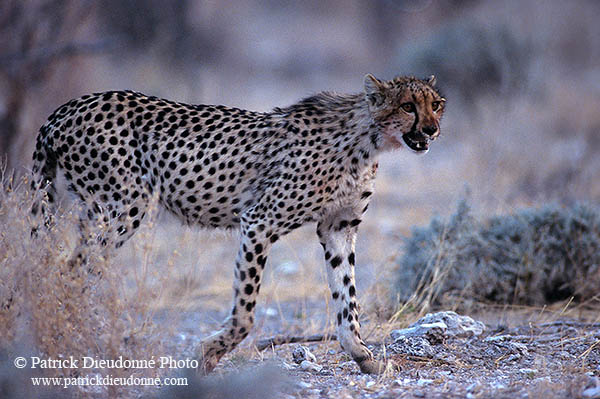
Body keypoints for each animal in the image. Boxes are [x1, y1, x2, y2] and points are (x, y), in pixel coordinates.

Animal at [31, 72, 446, 376]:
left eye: (436, 104)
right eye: (408, 106)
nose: (431, 130)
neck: (367, 138)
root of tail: (67, 108)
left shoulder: (338, 228)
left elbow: (348, 299)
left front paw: (362, 356)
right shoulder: (259, 221)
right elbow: (245, 314)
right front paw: (207, 354)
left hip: (99, 212)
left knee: (70, 269)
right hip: (121, 208)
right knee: (70, 271)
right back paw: (69, 339)